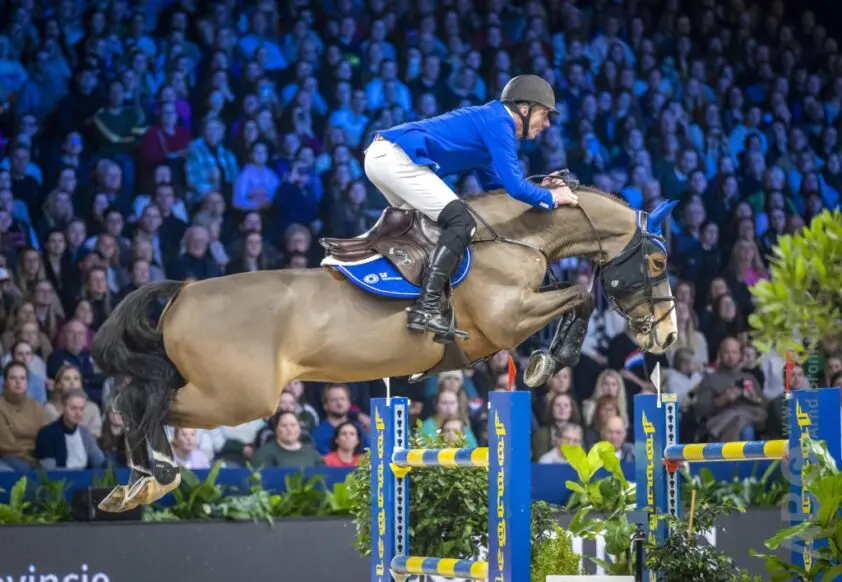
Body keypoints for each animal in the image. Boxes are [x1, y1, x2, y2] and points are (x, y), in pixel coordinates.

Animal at [91, 176, 679, 511]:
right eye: (657, 262)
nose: (669, 334)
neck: (516, 236)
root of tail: (183, 291)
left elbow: (573, 295)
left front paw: (542, 362)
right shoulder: (506, 319)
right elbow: (579, 296)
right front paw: (546, 362)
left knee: (134, 399)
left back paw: (135, 483)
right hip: (236, 398)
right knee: (143, 403)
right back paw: (158, 477)